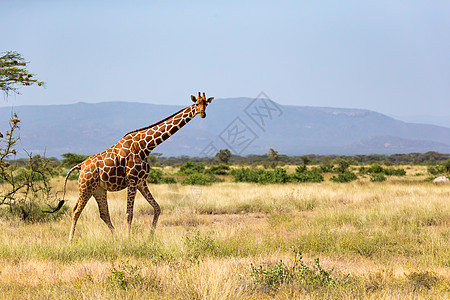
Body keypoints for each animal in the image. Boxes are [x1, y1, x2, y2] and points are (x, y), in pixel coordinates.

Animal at [56, 92, 214, 241]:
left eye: (206, 104)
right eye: (196, 104)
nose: (203, 114)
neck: (146, 146)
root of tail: (80, 165)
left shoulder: (141, 181)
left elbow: (157, 208)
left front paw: (150, 238)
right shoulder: (132, 180)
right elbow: (129, 213)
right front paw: (129, 240)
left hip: (98, 189)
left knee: (103, 213)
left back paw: (116, 238)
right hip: (85, 187)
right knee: (76, 210)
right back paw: (71, 241)